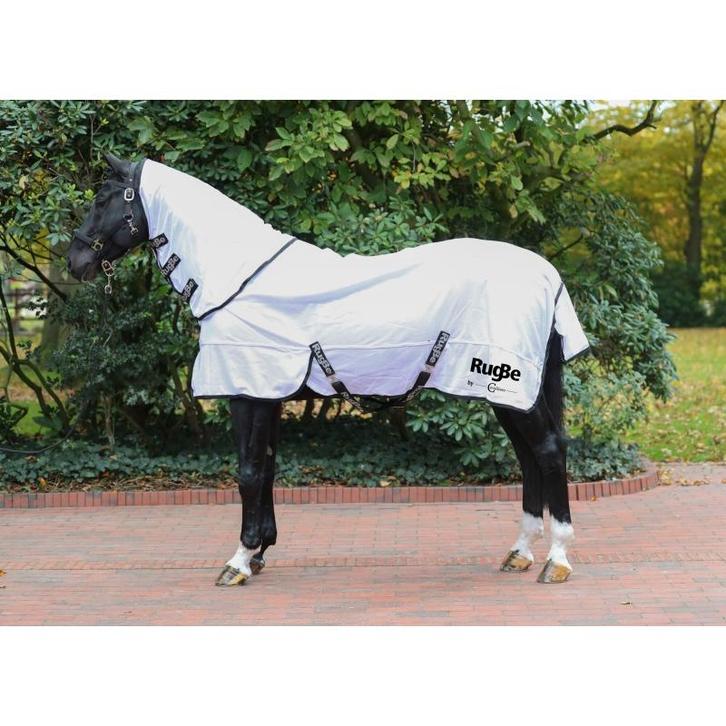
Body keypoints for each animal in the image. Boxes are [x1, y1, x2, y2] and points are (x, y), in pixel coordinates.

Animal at [67, 152, 590, 586]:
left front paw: (238, 560)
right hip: (508, 391)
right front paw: (261, 552)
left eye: (103, 198)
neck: (237, 280)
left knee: (547, 449)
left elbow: (249, 472)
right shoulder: (267, 395)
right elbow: (268, 467)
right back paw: (519, 552)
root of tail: (547, 274)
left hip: (507, 385)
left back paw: (557, 559)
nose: (76, 261)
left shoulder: (247, 394)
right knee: (528, 456)